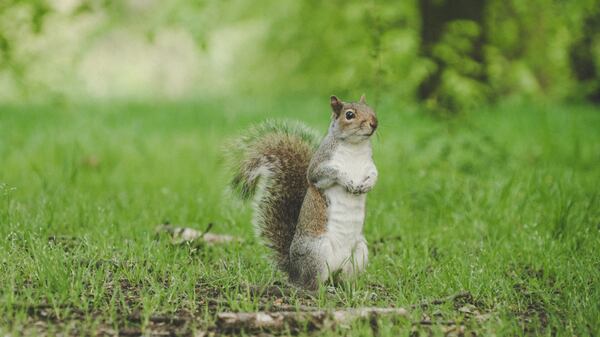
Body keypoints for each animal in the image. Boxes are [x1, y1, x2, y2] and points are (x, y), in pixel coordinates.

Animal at [227, 94, 378, 288]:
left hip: (359, 252)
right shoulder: (319, 167)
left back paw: (349, 287)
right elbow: (329, 173)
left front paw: (367, 185)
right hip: (317, 252)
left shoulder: (370, 166)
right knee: (311, 284)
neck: (355, 147)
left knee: (341, 279)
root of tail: (294, 272)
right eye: (349, 115)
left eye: (371, 109)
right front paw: (349, 182)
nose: (374, 123)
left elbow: (374, 175)